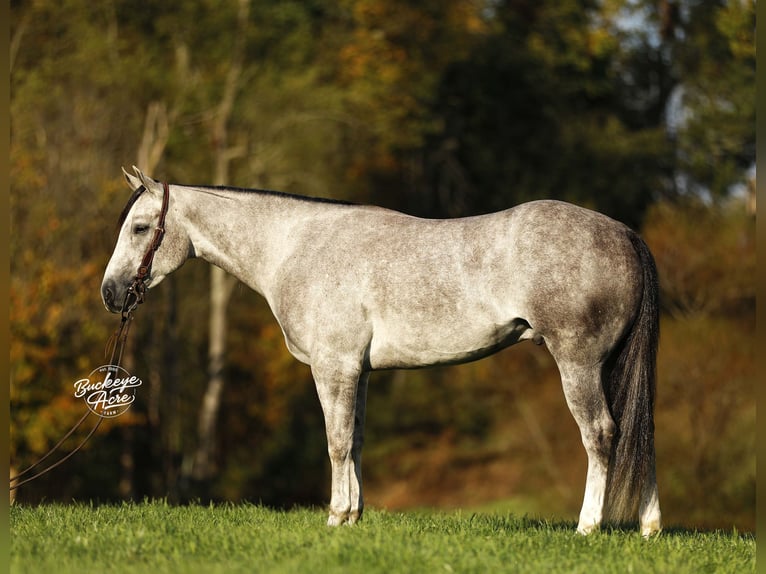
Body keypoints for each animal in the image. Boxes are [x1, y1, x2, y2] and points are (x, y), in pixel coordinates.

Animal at [101, 167, 661, 537]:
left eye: (140, 228)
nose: (111, 294)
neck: (295, 248)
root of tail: (623, 233)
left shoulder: (334, 367)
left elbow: (335, 442)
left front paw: (335, 517)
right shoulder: (360, 372)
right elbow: (356, 440)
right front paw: (354, 515)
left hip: (578, 363)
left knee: (601, 434)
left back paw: (588, 527)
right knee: (640, 432)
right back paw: (650, 526)